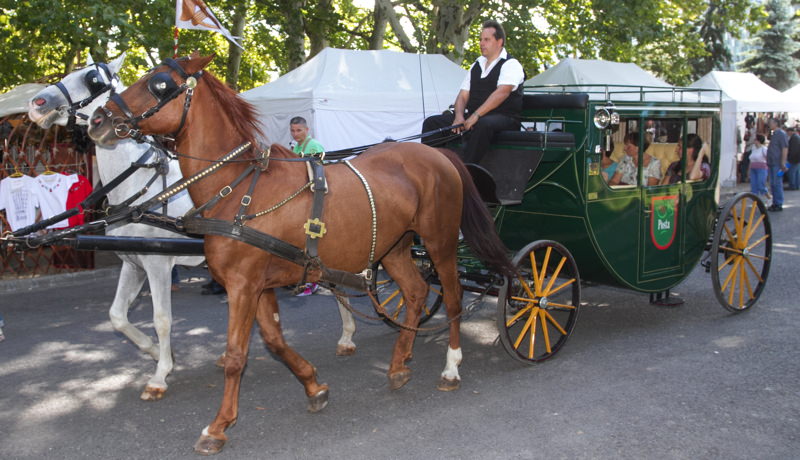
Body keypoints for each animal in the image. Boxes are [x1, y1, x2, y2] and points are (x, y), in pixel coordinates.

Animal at [87, 54, 513, 455]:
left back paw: (451, 367)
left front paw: (218, 426)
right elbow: (275, 341)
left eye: (158, 83)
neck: (241, 188)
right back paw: (397, 364)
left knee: (453, 297)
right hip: (394, 247)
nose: (98, 119)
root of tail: (439, 156)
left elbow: (236, 355)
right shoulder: (258, 285)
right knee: (415, 291)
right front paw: (313, 385)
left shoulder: (243, 285)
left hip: (440, 242)